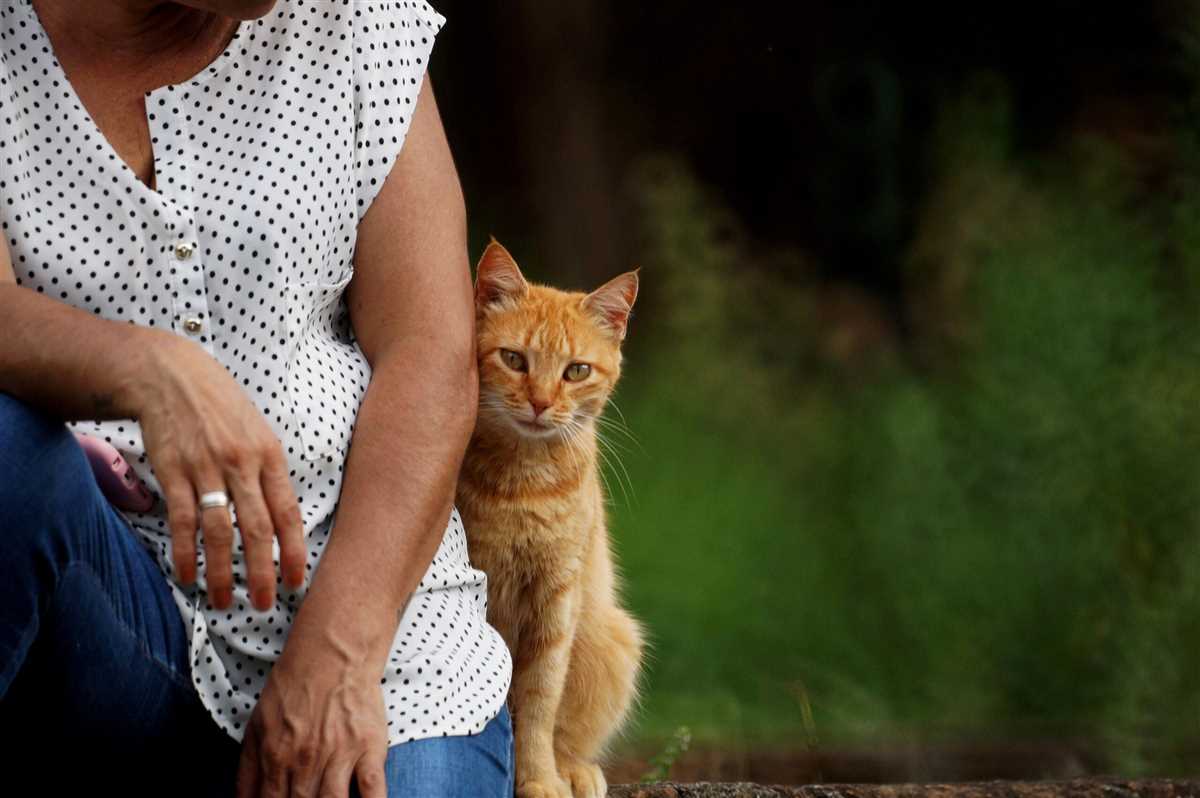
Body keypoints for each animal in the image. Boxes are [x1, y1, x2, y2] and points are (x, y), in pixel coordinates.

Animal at [456, 240, 648, 796]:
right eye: (514, 359)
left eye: (576, 371)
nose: (541, 403)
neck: (526, 483)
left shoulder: (555, 596)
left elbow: (540, 702)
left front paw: (538, 777)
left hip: (612, 640)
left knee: (571, 736)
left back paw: (574, 771)